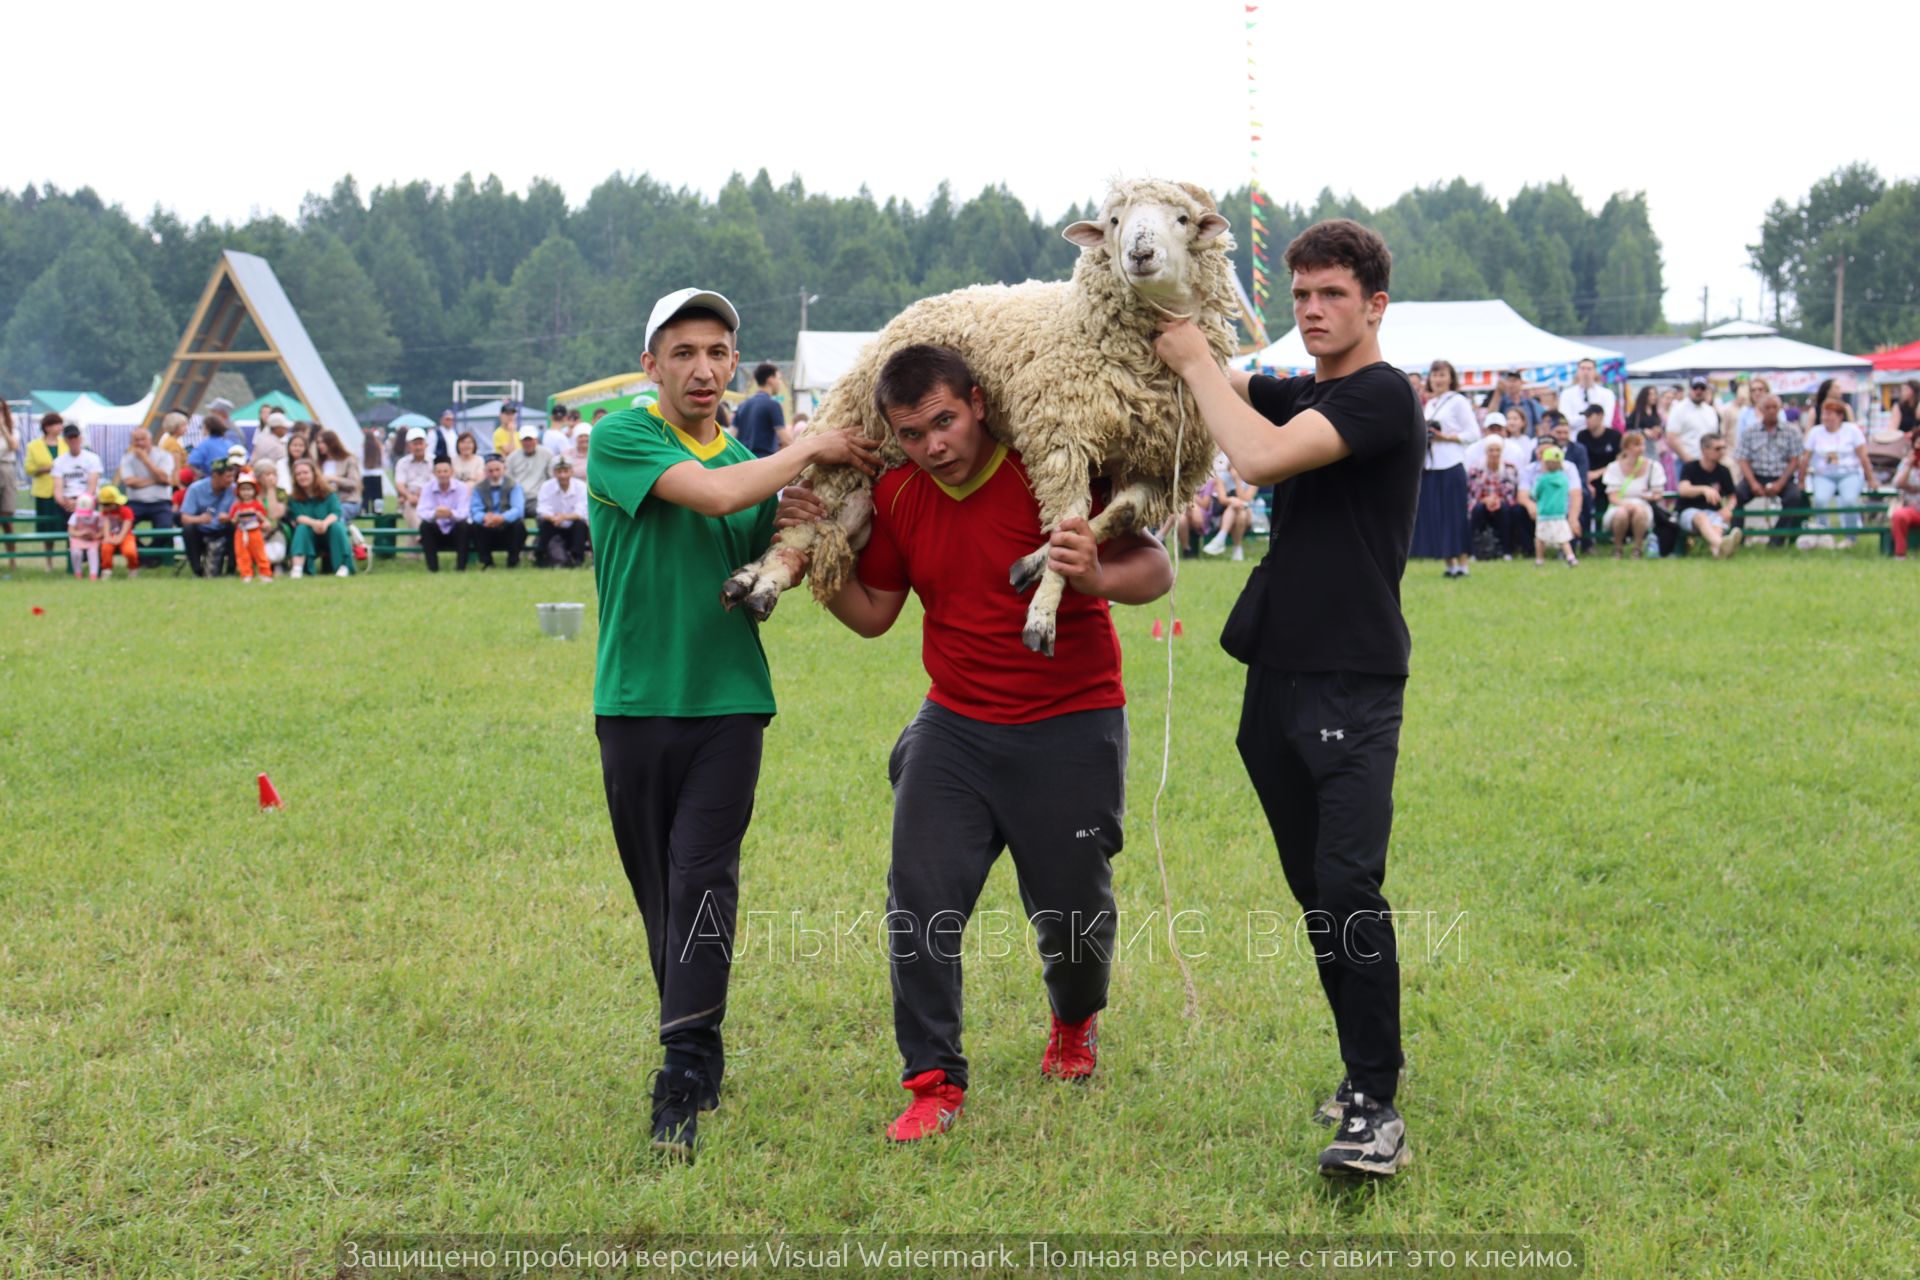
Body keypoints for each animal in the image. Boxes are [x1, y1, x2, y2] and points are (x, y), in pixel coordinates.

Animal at [721, 179, 1244, 656]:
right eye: (1115, 221)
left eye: (1182, 219)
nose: (1139, 252)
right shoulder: (1060, 440)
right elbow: (1071, 517)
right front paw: (1042, 616)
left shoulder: (1158, 465)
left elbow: (1115, 516)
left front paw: (1037, 563)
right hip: (850, 434)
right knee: (807, 517)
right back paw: (764, 582)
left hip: (871, 467)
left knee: (829, 523)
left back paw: (753, 577)